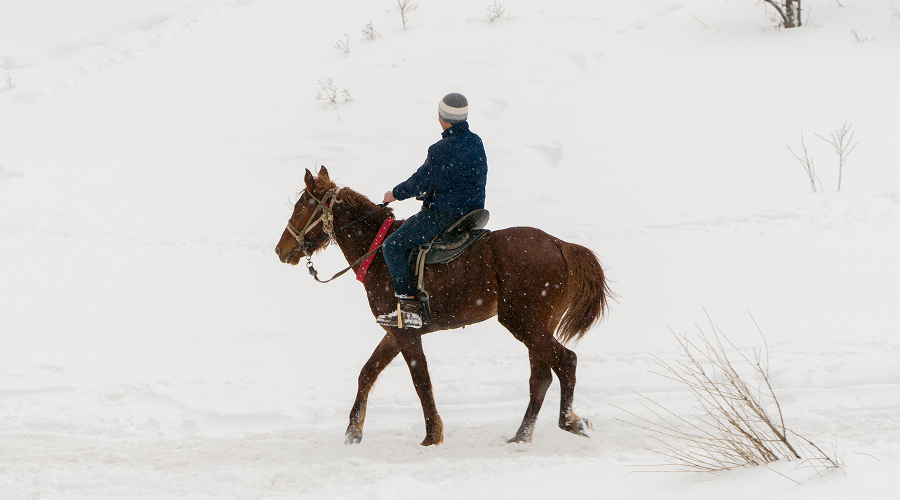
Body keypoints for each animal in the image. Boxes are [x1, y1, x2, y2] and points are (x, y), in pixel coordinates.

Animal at [275, 166, 612, 446]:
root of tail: (560, 245)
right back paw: (521, 436)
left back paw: (570, 422)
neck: (378, 250)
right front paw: (353, 432)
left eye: (300, 206)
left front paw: (432, 435)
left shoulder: (407, 334)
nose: (280, 249)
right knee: (541, 378)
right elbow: (367, 373)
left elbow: (420, 380)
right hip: (537, 326)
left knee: (566, 361)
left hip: (525, 323)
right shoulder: (394, 330)